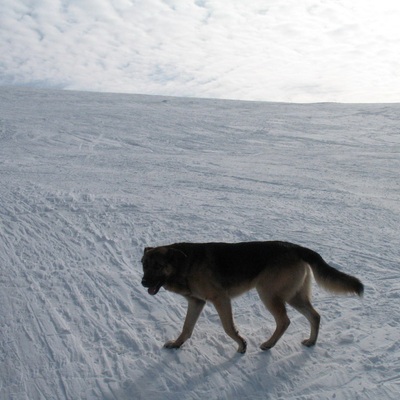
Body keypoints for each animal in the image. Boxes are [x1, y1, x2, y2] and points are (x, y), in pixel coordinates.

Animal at [142, 241, 364, 354]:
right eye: (143, 265)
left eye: (158, 266)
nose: (143, 282)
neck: (184, 262)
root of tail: (295, 247)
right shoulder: (197, 302)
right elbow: (187, 327)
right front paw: (177, 344)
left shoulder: (221, 299)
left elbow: (228, 327)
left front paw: (241, 345)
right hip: (294, 296)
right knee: (315, 316)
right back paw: (311, 341)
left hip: (268, 294)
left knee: (284, 320)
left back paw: (269, 344)